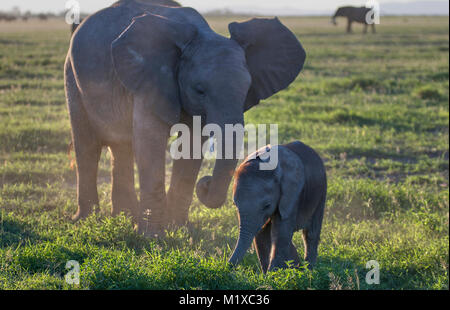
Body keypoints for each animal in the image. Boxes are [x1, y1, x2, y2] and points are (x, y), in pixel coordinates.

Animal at [66, 0, 306, 236]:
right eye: (199, 90)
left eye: (247, 90)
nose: (206, 183)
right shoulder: (150, 81)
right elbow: (150, 141)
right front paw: (150, 237)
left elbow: (191, 146)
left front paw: (178, 229)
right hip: (72, 76)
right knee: (87, 145)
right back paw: (87, 220)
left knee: (120, 146)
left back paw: (123, 217)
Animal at [229, 142, 326, 272]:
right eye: (235, 205)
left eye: (267, 206)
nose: (227, 267)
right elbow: (262, 234)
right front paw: (267, 274)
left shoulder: (292, 194)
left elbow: (280, 233)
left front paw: (272, 275)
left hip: (321, 191)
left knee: (311, 233)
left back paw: (308, 271)